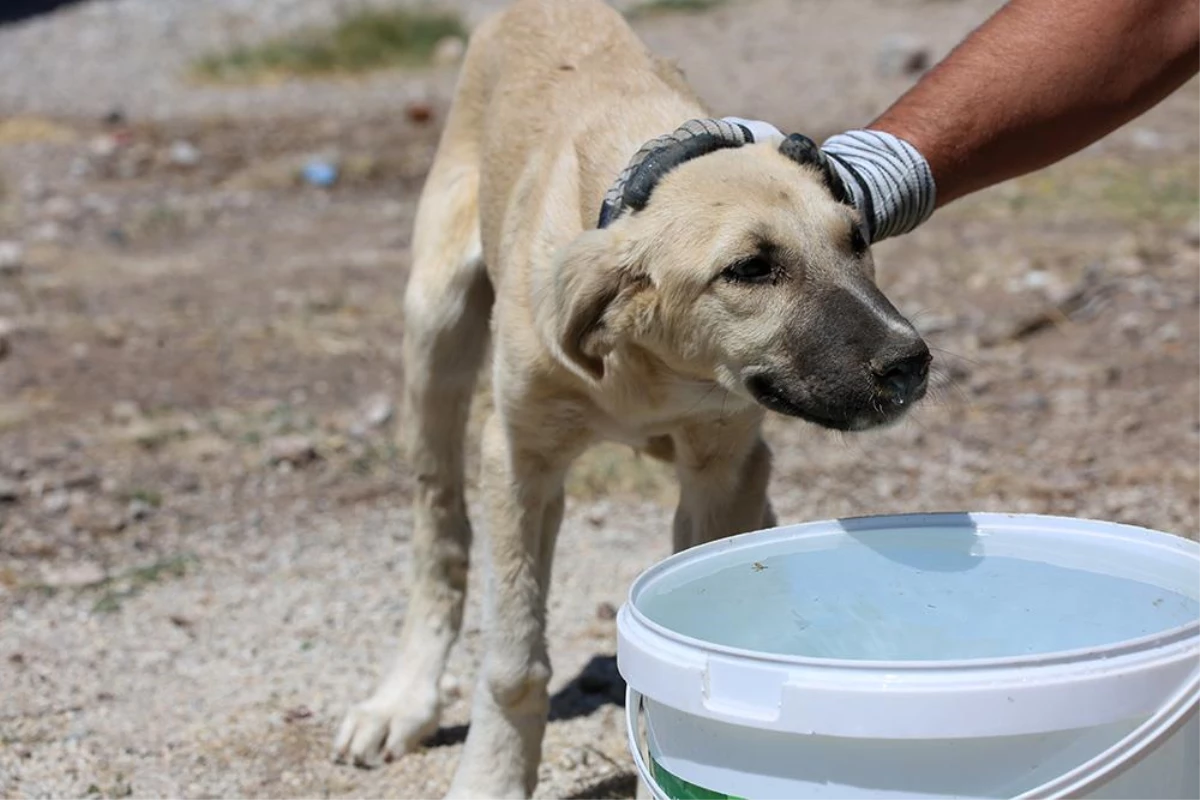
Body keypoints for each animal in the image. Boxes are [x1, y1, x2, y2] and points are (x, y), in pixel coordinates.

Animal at [333, 0, 931, 796]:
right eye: (749, 268)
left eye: (858, 237)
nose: (910, 362)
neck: (655, 365)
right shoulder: (518, 460)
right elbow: (513, 663)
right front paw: (492, 777)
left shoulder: (723, 466)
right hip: (434, 327)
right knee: (440, 533)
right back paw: (402, 701)